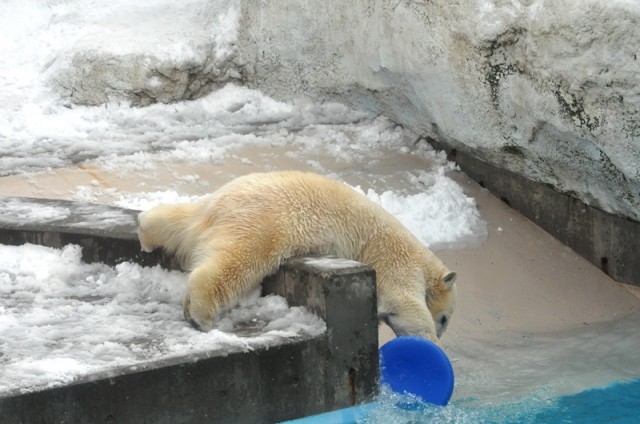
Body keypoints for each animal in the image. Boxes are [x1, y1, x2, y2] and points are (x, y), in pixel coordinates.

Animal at [137, 171, 457, 342]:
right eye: (444, 319)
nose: (443, 333)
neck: (422, 259)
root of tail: (219, 207)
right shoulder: (397, 261)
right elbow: (405, 305)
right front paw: (430, 344)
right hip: (266, 225)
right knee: (236, 263)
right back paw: (200, 316)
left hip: (208, 211)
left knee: (178, 222)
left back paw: (145, 231)